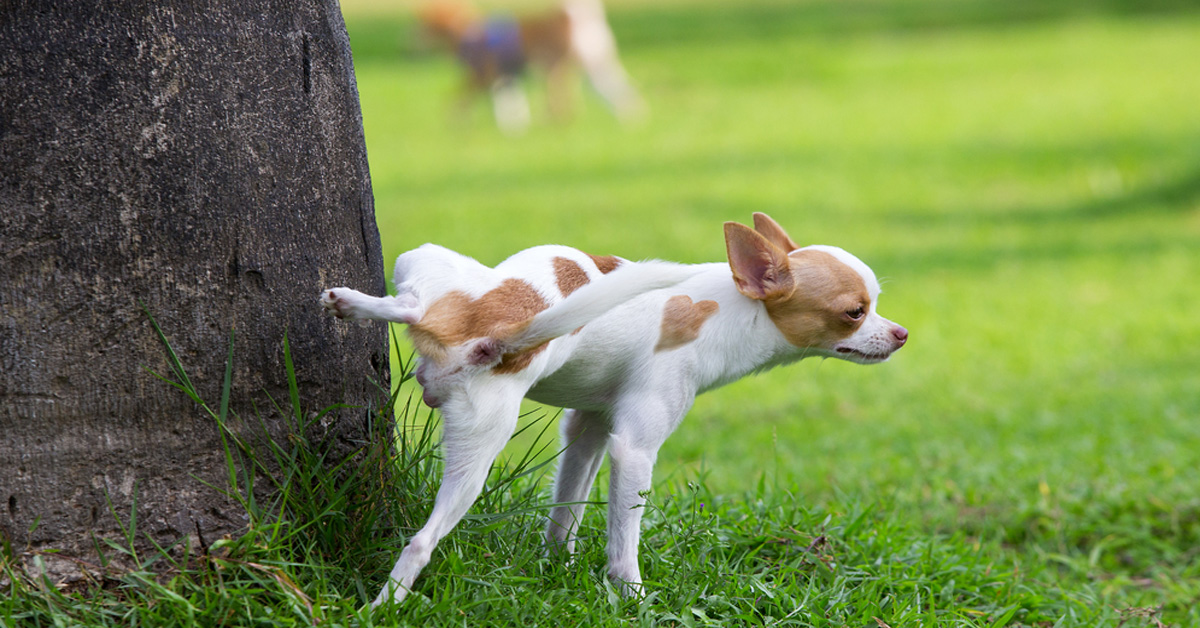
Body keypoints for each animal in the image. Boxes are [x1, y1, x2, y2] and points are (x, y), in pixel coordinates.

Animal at [321, 213, 907, 607]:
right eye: (855, 312)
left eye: (875, 307)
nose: (901, 334)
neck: (730, 308)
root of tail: (497, 332)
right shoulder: (634, 451)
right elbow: (625, 539)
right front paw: (633, 599)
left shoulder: (589, 430)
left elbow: (567, 512)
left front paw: (556, 567)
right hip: (484, 422)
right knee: (422, 540)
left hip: (432, 283)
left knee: (412, 305)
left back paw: (353, 303)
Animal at [422, 0, 648, 132]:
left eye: (421, 24)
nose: (415, 40)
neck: (465, 30)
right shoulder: (505, 78)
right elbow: (510, 105)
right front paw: (514, 126)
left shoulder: (482, 77)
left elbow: (459, 102)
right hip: (592, 68)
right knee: (616, 91)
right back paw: (631, 117)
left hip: (553, 69)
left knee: (566, 103)